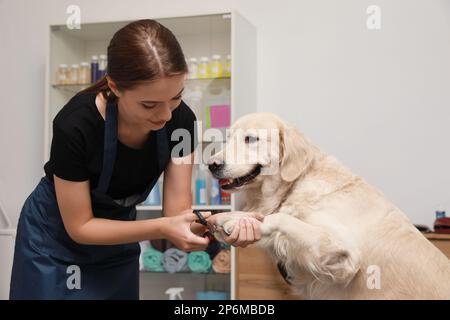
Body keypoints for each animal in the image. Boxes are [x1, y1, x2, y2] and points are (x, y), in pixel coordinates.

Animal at [207, 112, 450, 300]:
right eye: (228, 138)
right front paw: (224, 218)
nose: (211, 165)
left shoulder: (345, 252)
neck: (297, 182)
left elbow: (281, 217)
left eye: (250, 139)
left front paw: (235, 222)